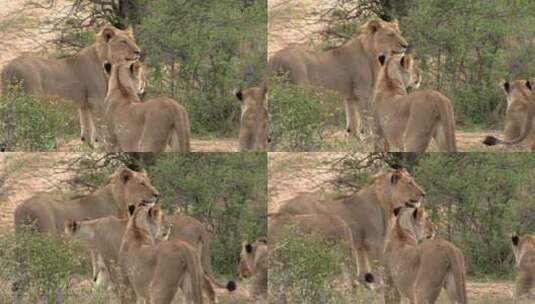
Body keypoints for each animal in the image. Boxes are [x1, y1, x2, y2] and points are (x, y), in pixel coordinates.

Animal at [1, 25, 142, 147]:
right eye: (123, 42)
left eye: (133, 40)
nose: (138, 52)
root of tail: (8, 68)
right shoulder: (96, 101)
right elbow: (101, 127)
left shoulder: (84, 105)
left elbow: (87, 130)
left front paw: (91, 149)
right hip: (33, 100)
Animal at [268, 17, 410, 138]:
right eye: (390, 34)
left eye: (400, 33)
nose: (406, 45)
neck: (374, 54)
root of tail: (274, 59)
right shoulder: (362, 92)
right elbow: (366, 117)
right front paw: (370, 138)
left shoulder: (350, 96)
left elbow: (353, 122)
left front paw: (356, 140)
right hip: (298, 89)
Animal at [278, 166, 426, 282]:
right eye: (409, 183)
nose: (424, 194)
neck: (388, 205)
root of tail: (281, 208)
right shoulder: (374, 244)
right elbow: (378, 271)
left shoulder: (361, 246)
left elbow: (365, 272)